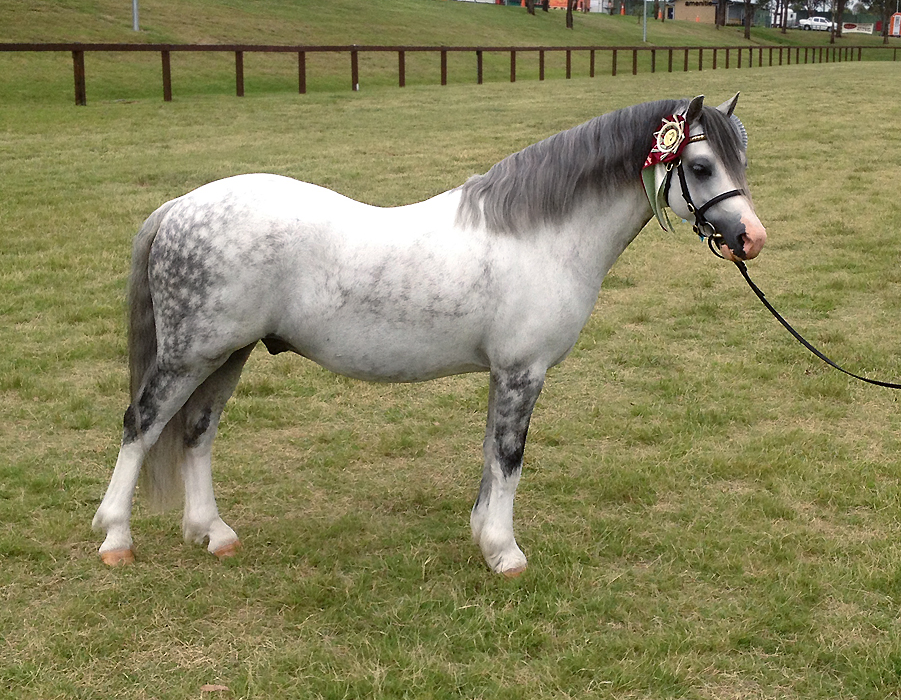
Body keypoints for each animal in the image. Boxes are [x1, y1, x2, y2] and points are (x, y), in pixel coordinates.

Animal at [93, 94, 766, 576]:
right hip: (190, 354)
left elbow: (492, 456)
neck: (540, 235)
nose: (751, 239)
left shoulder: (504, 375)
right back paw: (116, 539)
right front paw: (505, 554)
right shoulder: (522, 372)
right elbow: (509, 457)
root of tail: (179, 207)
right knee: (141, 423)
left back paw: (213, 534)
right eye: (700, 166)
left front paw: (485, 539)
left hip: (227, 354)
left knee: (197, 432)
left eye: (741, 162)